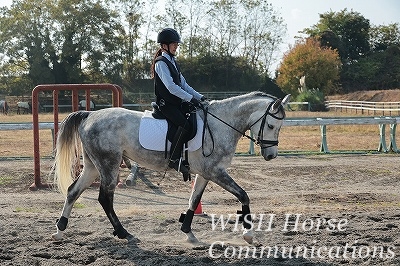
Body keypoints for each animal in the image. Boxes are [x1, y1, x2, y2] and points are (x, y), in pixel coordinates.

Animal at [53, 92, 290, 245]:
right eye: (271, 125)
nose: (271, 155)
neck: (220, 124)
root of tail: (89, 115)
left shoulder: (205, 174)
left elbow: (194, 201)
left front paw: (188, 233)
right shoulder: (216, 172)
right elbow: (243, 195)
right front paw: (249, 236)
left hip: (93, 166)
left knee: (73, 191)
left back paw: (60, 229)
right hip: (109, 165)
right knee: (105, 198)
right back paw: (123, 233)